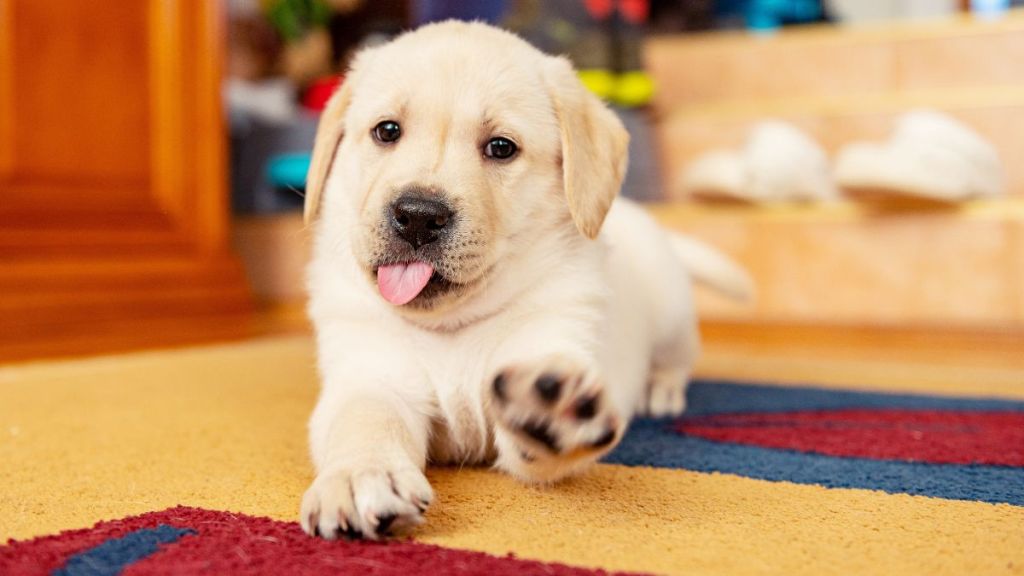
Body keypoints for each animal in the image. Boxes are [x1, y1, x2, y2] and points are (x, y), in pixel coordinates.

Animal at [299, 21, 749, 537]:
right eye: (387, 131)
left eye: (501, 148)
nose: (417, 216)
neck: (451, 327)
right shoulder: (369, 375)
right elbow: (364, 422)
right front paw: (360, 477)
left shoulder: (555, 338)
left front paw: (551, 412)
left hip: (674, 317)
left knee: (679, 360)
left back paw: (661, 392)